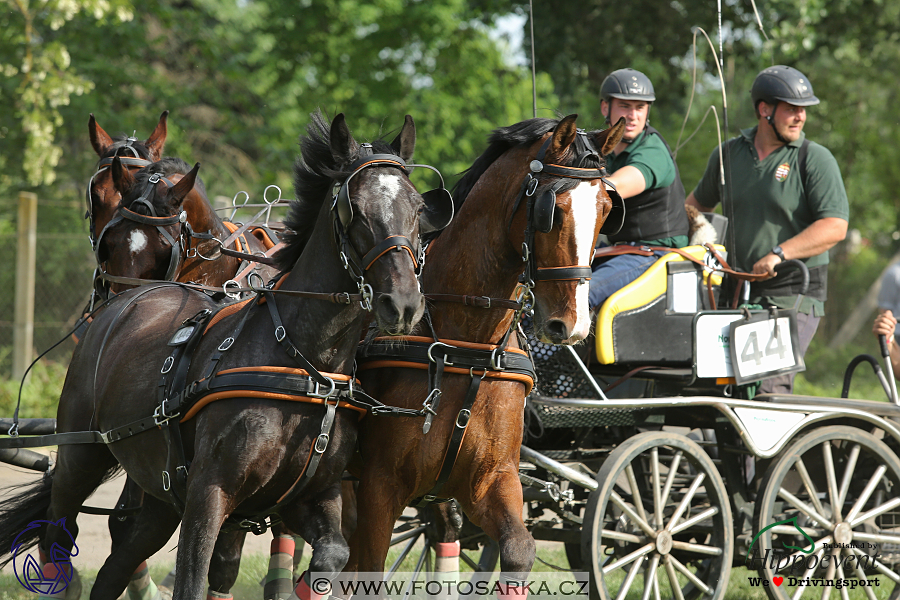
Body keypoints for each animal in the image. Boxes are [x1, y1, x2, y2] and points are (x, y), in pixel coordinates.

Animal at [0, 111, 432, 600]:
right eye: (352, 208)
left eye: (419, 208)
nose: (403, 304)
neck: (301, 360)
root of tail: (124, 303)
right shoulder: (209, 493)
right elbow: (194, 578)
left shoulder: (312, 496)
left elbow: (333, 554)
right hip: (81, 457)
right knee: (59, 536)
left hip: (160, 496)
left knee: (116, 565)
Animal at [344, 112, 624, 592]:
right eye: (553, 210)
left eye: (606, 208)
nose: (573, 325)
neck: (466, 344)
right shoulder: (378, 487)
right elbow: (368, 566)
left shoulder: (494, 479)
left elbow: (518, 549)